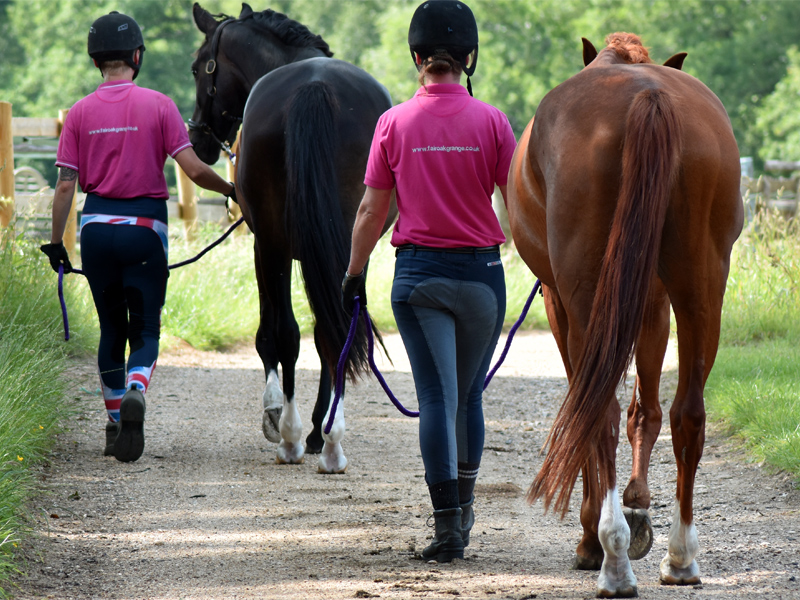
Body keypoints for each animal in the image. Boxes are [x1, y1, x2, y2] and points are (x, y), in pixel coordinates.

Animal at [189, 3, 395, 473]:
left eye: (198, 67)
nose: (196, 136)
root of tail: (314, 87)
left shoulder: (263, 247)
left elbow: (270, 333)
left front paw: (275, 416)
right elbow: (324, 333)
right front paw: (320, 428)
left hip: (274, 245)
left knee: (288, 332)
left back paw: (291, 436)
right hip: (346, 245)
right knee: (333, 332)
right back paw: (330, 440)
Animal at [506, 33, 743, 597]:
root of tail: (648, 96)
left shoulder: (560, 303)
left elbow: (591, 405)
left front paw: (596, 533)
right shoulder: (653, 303)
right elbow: (647, 410)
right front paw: (638, 509)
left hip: (585, 294)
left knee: (599, 413)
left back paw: (612, 558)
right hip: (702, 285)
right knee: (687, 412)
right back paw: (681, 557)